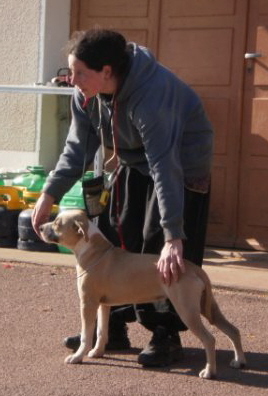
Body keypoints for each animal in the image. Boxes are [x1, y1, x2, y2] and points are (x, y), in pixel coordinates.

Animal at [38, 209, 246, 378]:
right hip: (206, 307)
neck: (94, 250)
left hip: (187, 310)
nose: (39, 226)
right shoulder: (104, 305)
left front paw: (78, 356)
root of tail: (194, 268)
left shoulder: (87, 303)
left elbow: (86, 335)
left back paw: (209, 372)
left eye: (57, 223)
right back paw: (239, 361)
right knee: (233, 330)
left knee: (209, 339)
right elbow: (101, 331)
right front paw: (97, 352)